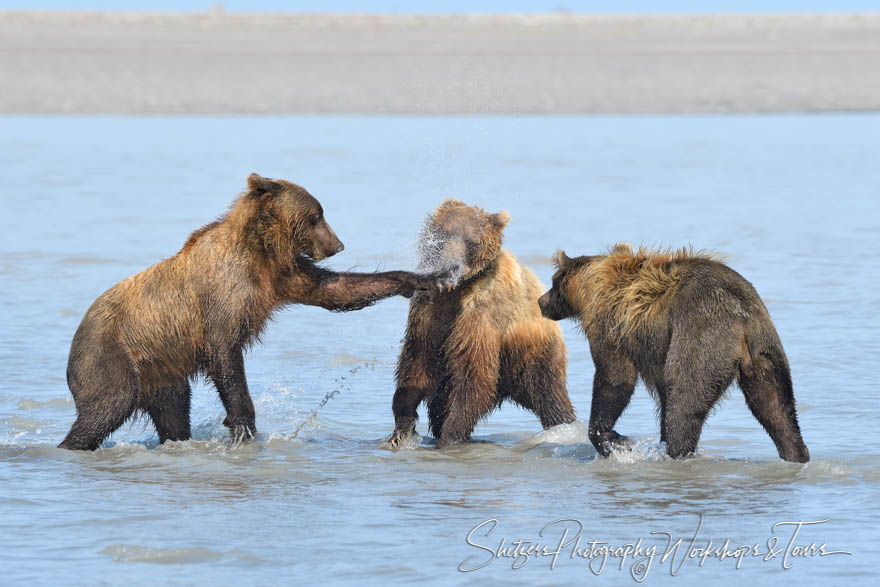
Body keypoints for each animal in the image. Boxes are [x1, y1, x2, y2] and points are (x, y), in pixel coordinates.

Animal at [60, 173, 446, 450]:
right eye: (316, 215)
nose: (337, 245)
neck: (259, 249)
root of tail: (76, 336)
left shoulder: (282, 276)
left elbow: (335, 291)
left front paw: (425, 279)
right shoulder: (224, 293)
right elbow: (226, 354)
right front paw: (243, 426)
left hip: (162, 372)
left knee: (173, 413)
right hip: (110, 357)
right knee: (105, 409)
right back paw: (71, 445)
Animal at [388, 199, 576, 450]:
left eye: (471, 242)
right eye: (444, 234)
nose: (451, 265)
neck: (456, 290)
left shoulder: (482, 314)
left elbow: (473, 376)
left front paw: (450, 436)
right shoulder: (428, 309)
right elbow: (416, 359)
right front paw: (402, 426)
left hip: (533, 353)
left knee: (550, 396)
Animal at [536, 243, 812, 464]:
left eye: (553, 281)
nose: (541, 301)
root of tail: (740, 314)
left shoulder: (609, 326)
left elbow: (615, 378)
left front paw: (615, 441)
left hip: (701, 338)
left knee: (685, 399)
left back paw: (677, 453)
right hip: (766, 353)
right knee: (776, 406)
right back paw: (796, 454)